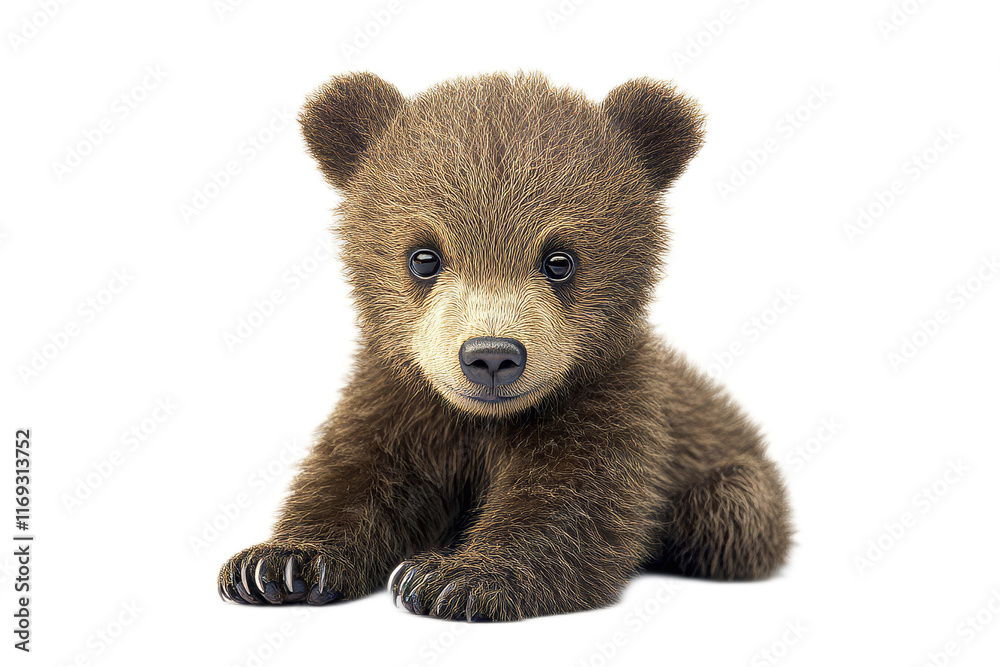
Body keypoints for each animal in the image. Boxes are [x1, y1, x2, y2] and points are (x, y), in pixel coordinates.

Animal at [218, 71, 792, 622]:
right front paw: (276, 565)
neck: (483, 422)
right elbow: (352, 476)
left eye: (560, 260)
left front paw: (449, 578)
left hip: (735, 480)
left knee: (729, 511)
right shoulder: (399, 402)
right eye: (423, 256)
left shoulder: (609, 402)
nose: (491, 356)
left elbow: (569, 503)